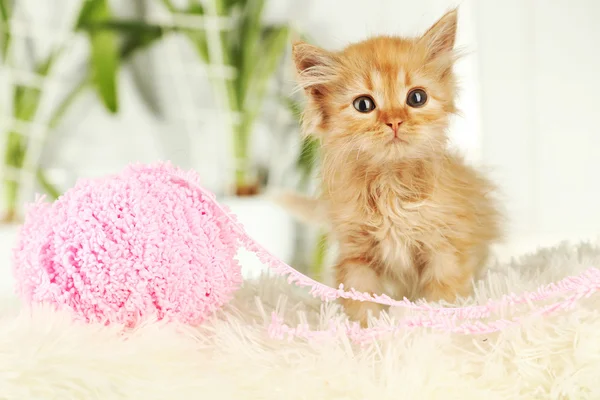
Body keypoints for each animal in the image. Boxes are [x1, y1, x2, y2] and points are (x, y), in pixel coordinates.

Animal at [288, 10, 504, 328]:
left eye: (416, 98)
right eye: (364, 104)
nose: (394, 121)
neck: (390, 184)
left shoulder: (447, 248)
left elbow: (441, 296)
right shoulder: (356, 256)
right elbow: (362, 303)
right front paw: (368, 330)